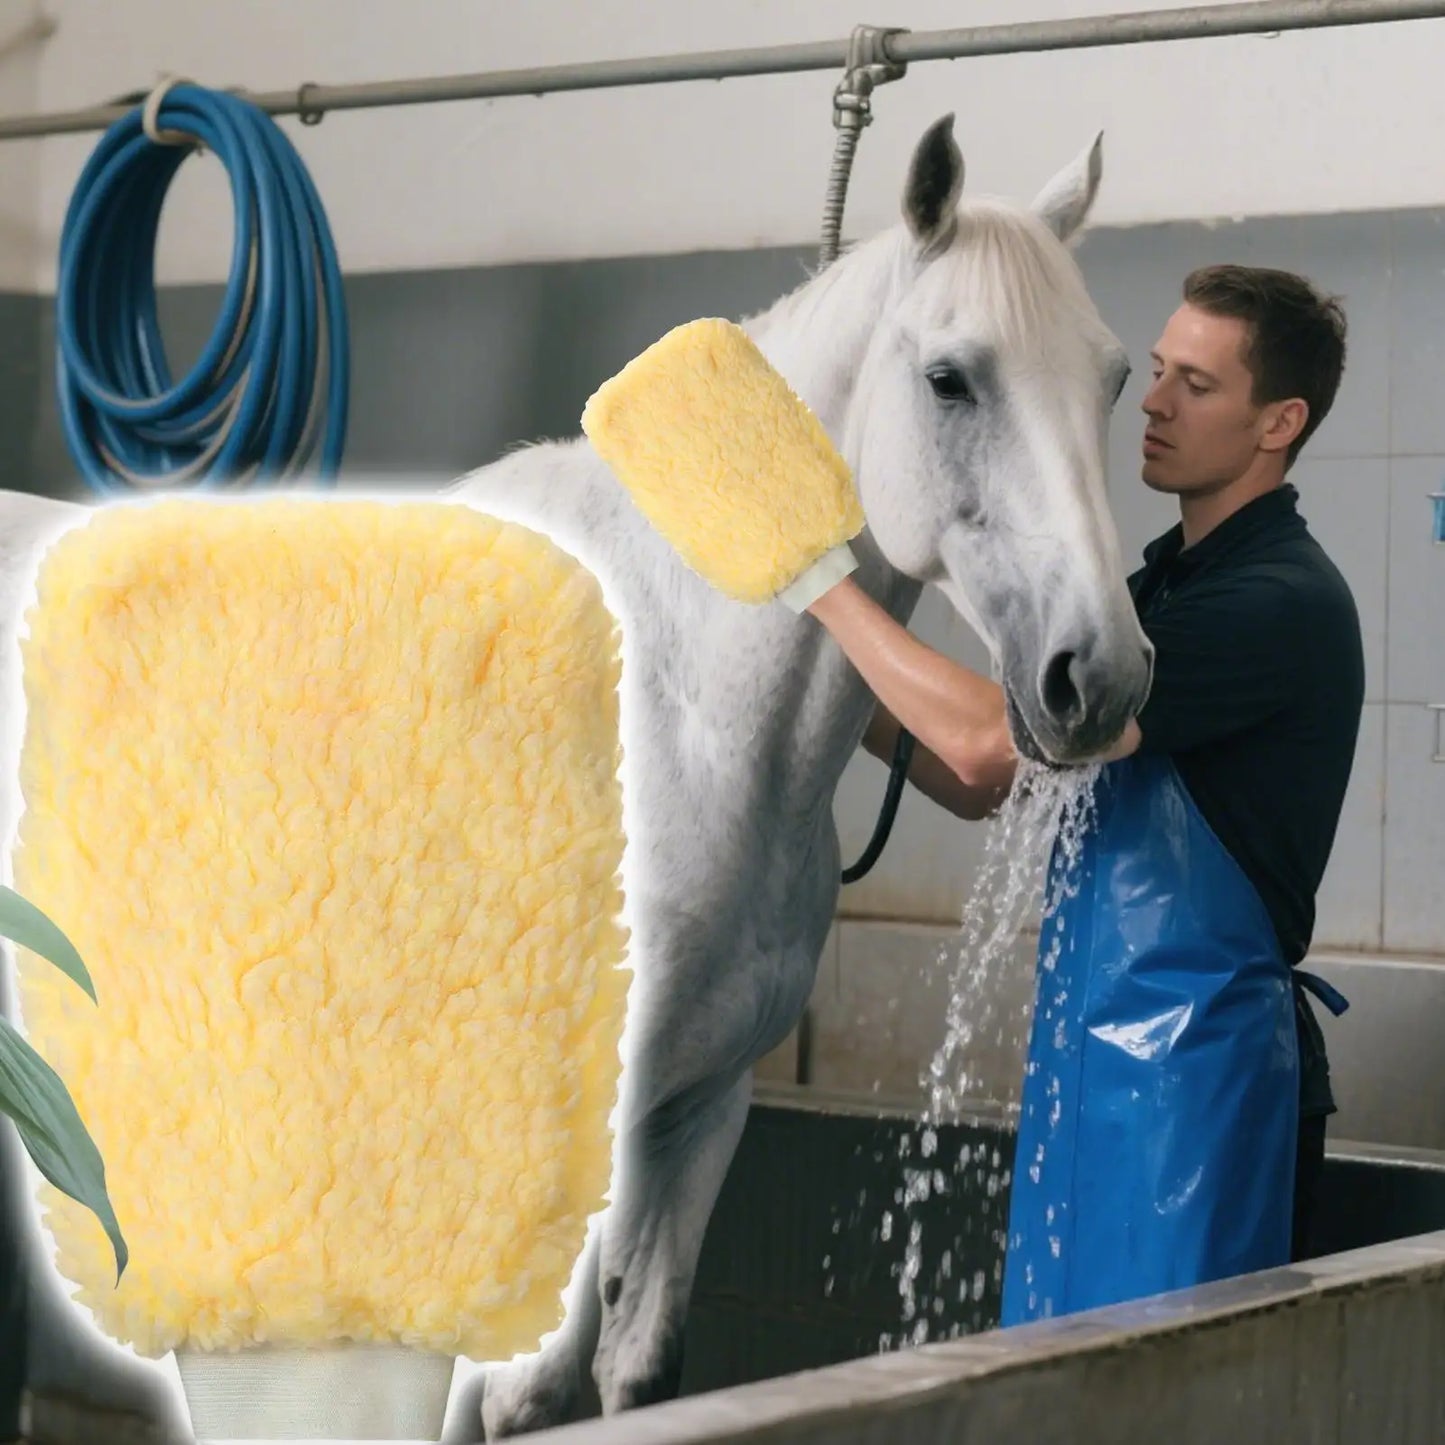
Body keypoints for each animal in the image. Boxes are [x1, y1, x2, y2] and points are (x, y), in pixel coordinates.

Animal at [0, 113, 1152, 1442]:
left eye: (1111, 377)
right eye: (950, 378)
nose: (1099, 676)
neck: (676, 723)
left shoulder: (697, 1110)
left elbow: (639, 1363)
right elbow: (521, 1393)